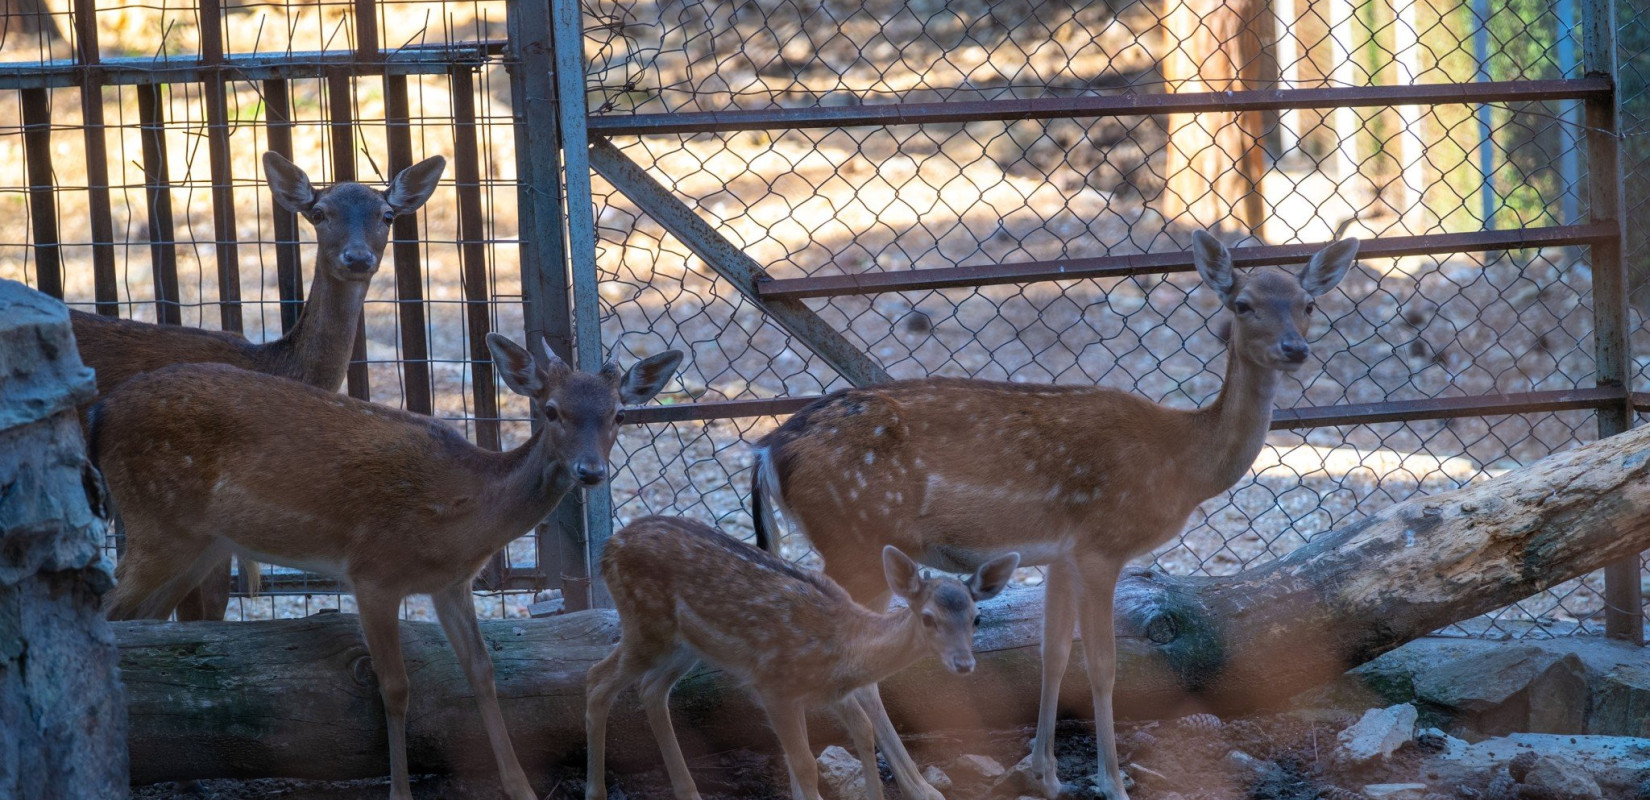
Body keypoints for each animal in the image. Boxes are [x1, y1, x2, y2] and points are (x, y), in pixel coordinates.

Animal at [91, 329, 683, 798]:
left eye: (619, 413)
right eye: (552, 409)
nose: (590, 472)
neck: (463, 516)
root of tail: (102, 415)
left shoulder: (451, 585)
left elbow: (483, 672)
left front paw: (520, 789)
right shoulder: (372, 572)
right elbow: (395, 687)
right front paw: (399, 792)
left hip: (199, 544)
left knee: (144, 623)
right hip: (153, 522)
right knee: (106, 614)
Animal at [580, 514, 1016, 798]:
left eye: (976, 618)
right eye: (928, 618)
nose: (964, 664)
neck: (845, 647)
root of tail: (607, 549)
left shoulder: (830, 695)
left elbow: (862, 736)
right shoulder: (774, 686)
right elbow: (806, 763)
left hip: (683, 646)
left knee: (651, 689)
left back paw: (688, 791)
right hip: (645, 627)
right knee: (597, 680)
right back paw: (596, 791)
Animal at [755, 230, 1359, 798]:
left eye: (1308, 302)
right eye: (1243, 303)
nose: (1295, 348)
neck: (1183, 463)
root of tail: (767, 450)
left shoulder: (1060, 554)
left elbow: (1053, 655)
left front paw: (1045, 774)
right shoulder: (1102, 544)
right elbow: (1103, 665)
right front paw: (1112, 781)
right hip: (854, 539)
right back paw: (917, 784)